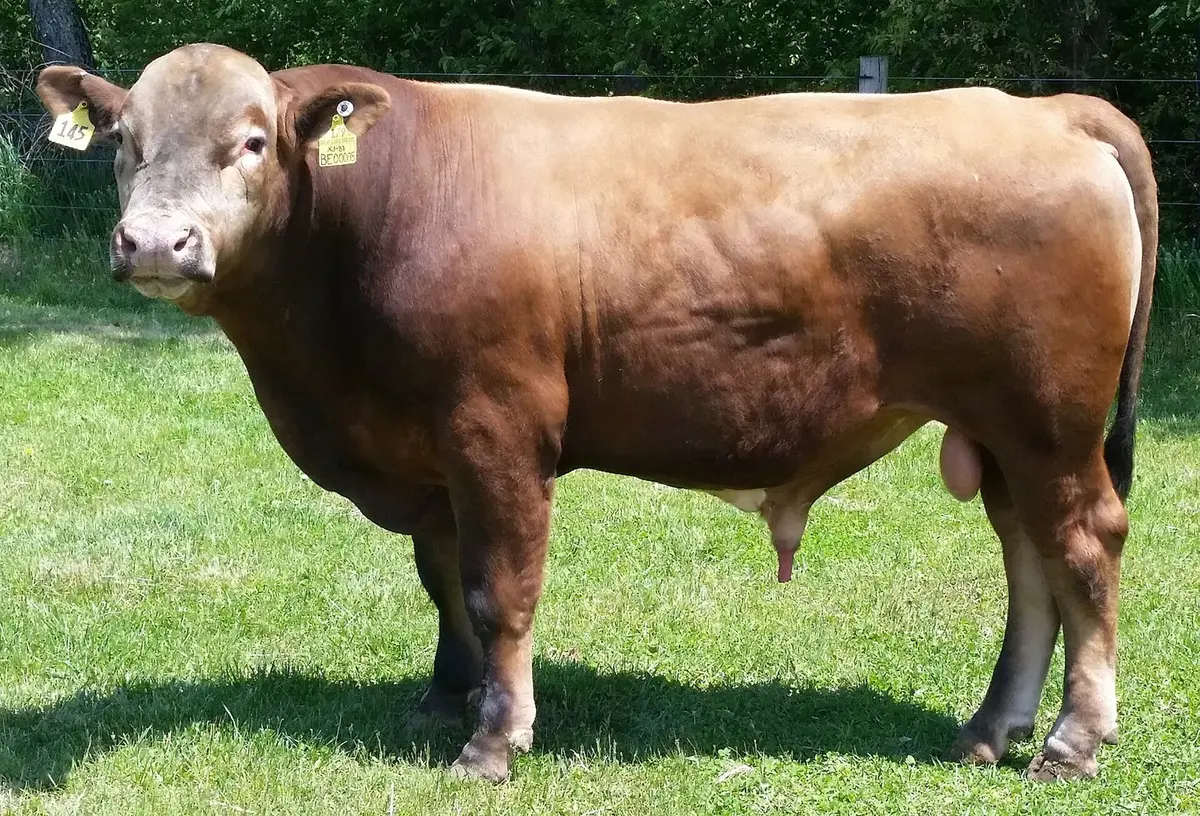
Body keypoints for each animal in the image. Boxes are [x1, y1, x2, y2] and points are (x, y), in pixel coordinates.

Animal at [36, 43, 1156, 783]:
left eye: (254, 141)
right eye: (123, 140)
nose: (154, 244)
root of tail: (1046, 110)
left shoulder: (495, 427)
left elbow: (499, 589)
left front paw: (493, 740)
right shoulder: (429, 453)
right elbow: (442, 581)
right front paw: (444, 696)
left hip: (1049, 422)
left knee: (1085, 549)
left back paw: (1073, 742)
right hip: (1004, 435)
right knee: (1029, 563)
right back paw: (990, 728)